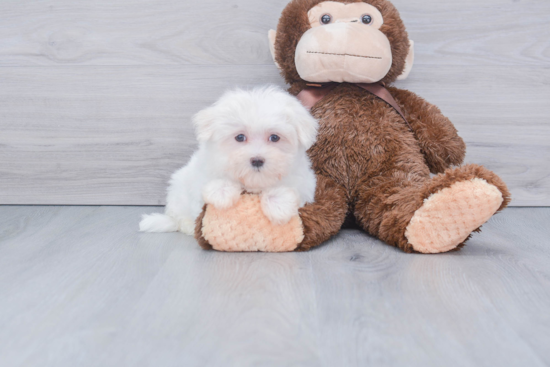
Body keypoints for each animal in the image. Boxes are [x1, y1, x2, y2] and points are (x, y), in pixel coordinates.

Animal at [140, 86, 320, 236]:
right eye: (239, 137)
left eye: (275, 137)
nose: (257, 160)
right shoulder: (203, 173)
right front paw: (222, 193)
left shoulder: (303, 183)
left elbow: (288, 188)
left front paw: (278, 205)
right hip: (178, 189)